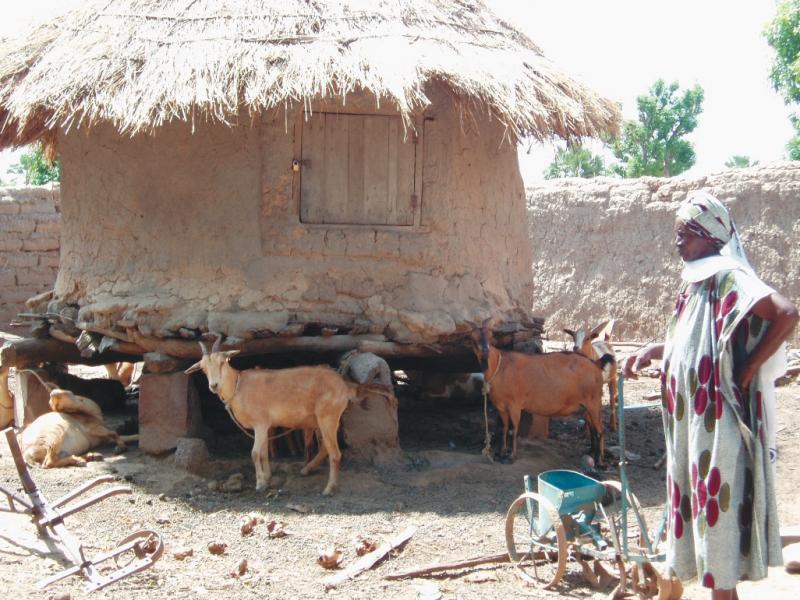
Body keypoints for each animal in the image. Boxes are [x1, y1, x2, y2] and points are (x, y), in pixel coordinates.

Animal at [186, 338, 354, 496]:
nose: (213, 386)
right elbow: (264, 453)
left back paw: (329, 489)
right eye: (203, 368)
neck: (238, 387)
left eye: (222, 362)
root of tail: (342, 385)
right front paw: (267, 478)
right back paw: (306, 470)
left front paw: (260, 484)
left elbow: (255, 453)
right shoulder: (265, 426)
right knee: (325, 448)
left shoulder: (260, 424)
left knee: (335, 453)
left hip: (328, 417)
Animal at [468, 318, 612, 464]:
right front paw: (500, 454)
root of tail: (596, 364)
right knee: (593, 429)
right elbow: (504, 429)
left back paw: (599, 460)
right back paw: (592, 453)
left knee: (600, 430)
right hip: (586, 406)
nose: (485, 350)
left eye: (491, 335)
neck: (499, 366)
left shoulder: (515, 404)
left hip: (594, 401)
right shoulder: (501, 406)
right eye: (472, 338)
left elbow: (513, 430)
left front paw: (510, 456)